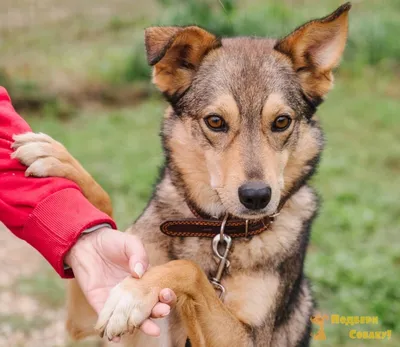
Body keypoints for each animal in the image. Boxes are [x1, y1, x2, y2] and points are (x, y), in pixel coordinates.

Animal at [11, 3, 350, 347]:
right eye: (215, 121)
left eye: (281, 122)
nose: (256, 197)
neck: (217, 231)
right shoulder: (84, 319)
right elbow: (104, 208)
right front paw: (57, 158)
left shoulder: (248, 338)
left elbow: (188, 269)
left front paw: (134, 294)